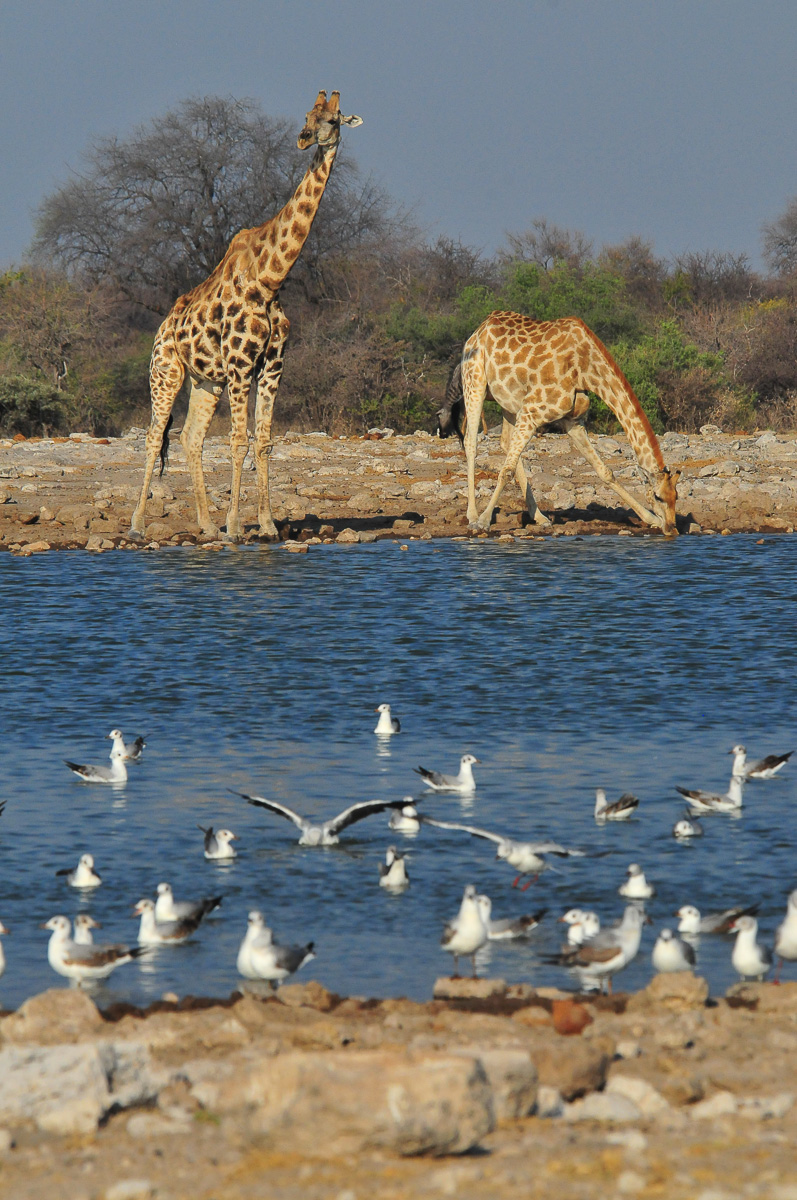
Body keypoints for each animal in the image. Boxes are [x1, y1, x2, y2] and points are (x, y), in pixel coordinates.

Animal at [129, 90, 362, 541]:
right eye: (307, 116)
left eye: (333, 120)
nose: (304, 139)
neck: (270, 280)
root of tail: (162, 329)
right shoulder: (240, 365)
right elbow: (239, 440)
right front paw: (236, 527)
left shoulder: (272, 366)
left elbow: (264, 441)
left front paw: (267, 525)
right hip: (166, 372)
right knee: (153, 435)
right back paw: (137, 525)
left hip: (206, 381)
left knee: (189, 437)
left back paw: (205, 524)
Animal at [459, 311, 680, 535]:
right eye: (658, 496)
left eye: (676, 497)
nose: (672, 528)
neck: (585, 371)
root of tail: (479, 329)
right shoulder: (531, 411)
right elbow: (506, 471)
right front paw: (483, 521)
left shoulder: (572, 421)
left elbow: (605, 471)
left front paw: (651, 518)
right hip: (474, 381)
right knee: (471, 442)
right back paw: (472, 515)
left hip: (509, 402)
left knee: (504, 443)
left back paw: (540, 517)